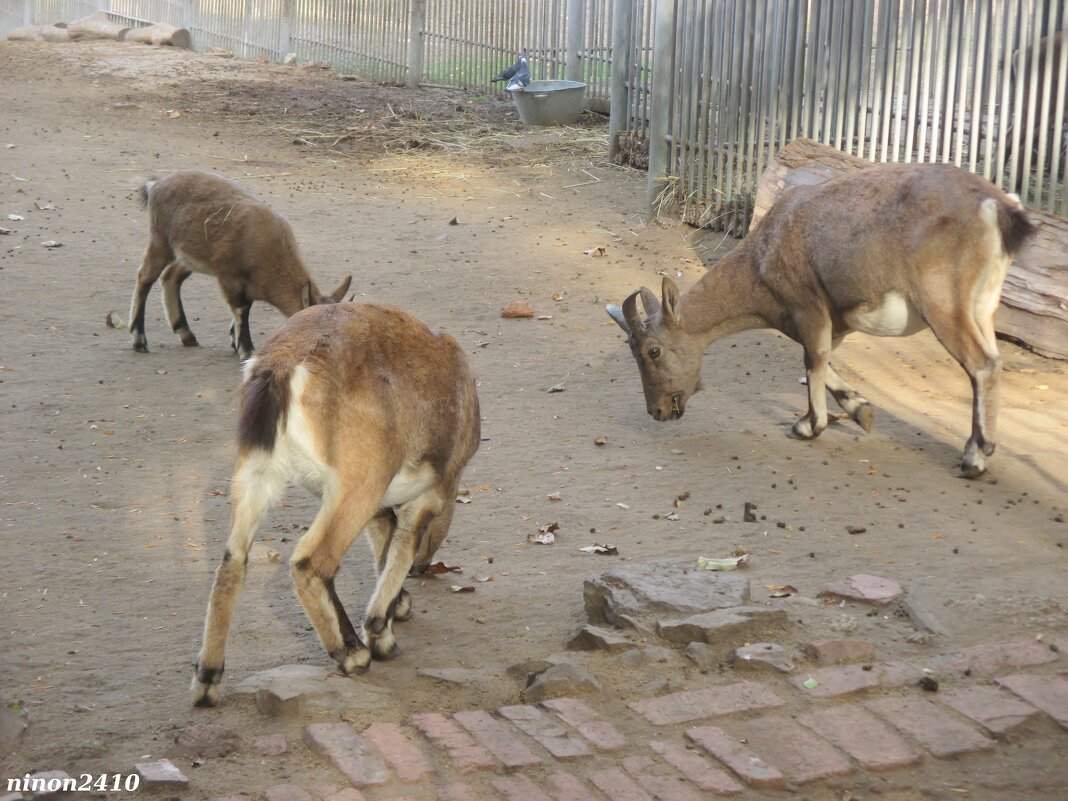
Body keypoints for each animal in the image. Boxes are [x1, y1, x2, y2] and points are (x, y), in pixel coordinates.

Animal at [126, 171, 350, 360]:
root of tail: (155, 185)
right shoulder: (229, 275)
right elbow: (241, 309)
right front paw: (246, 349)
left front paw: (235, 341)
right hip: (160, 241)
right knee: (145, 276)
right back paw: (139, 340)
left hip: (187, 257)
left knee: (171, 277)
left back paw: (186, 333)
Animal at [192, 303, 480, 709]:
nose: (425, 569)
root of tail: (282, 366)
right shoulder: (428, 493)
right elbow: (401, 544)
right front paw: (381, 632)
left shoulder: (375, 501)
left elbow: (384, 540)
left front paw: (397, 607)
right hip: (355, 486)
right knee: (311, 562)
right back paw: (353, 653)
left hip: (256, 473)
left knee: (232, 562)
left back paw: (207, 679)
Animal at [615, 163, 1038, 476]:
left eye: (653, 350)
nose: (658, 411)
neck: (763, 254)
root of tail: (998, 207)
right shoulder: (832, 321)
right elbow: (826, 362)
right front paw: (862, 411)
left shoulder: (808, 305)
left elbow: (813, 360)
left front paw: (808, 425)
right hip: (983, 305)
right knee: (993, 360)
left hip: (944, 301)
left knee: (982, 365)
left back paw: (975, 458)